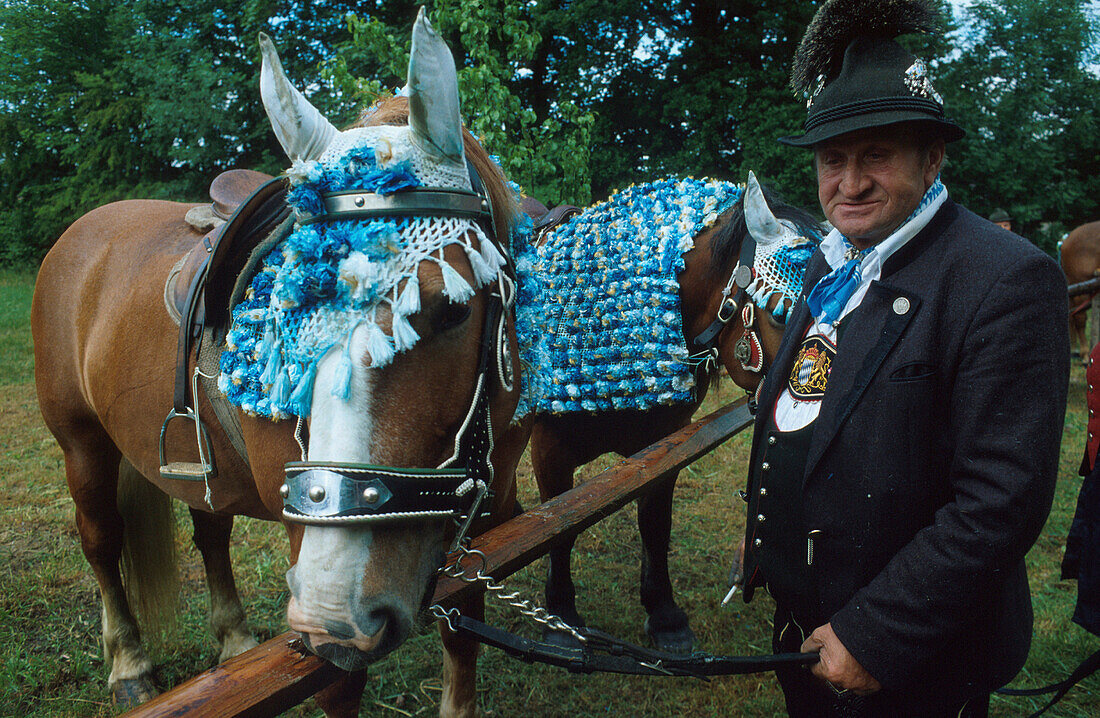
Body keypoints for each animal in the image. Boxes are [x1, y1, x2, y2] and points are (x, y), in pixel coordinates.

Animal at [33, 12, 528, 716]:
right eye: (284, 318)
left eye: (453, 310)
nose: (338, 608)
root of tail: (84, 232)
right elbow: (340, 679)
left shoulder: (482, 520)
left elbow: (465, 631)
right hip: (81, 443)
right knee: (101, 540)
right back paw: (129, 663)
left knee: (210, 531)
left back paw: (235, 642)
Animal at [519, 173, 822, 650]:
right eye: (779, 314)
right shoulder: (549, 453)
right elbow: (559, 529)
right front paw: (562, 618)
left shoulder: (663, 450)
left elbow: (655, 524)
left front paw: (664, 614)